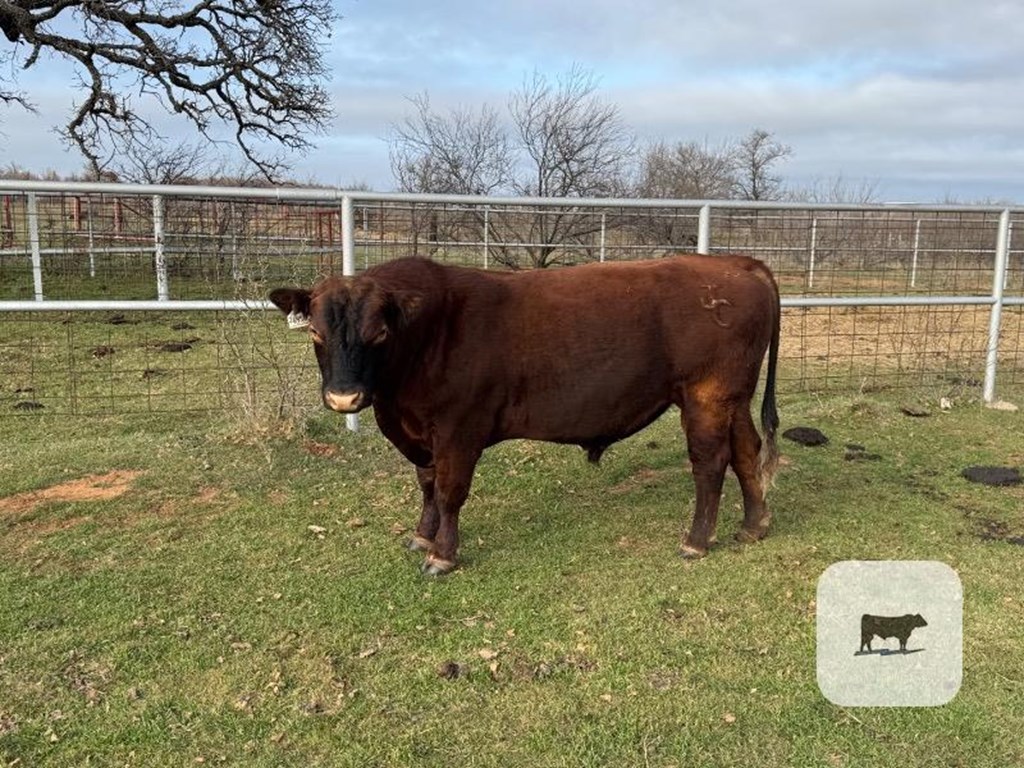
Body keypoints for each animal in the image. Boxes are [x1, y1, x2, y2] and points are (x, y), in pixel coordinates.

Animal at [268, 256, 778, 573]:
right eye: (314, 332)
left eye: (378, 333)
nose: (344, 398)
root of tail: (733, 263)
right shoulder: (421, 436)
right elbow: (427, 487)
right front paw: (422, 536)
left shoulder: (458, 430)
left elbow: (450, 492)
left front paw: (442, 554)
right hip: (732, 399)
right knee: (746, 452)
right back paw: (753, 526)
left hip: (705, 396)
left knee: (710, 463)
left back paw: (696, 540)